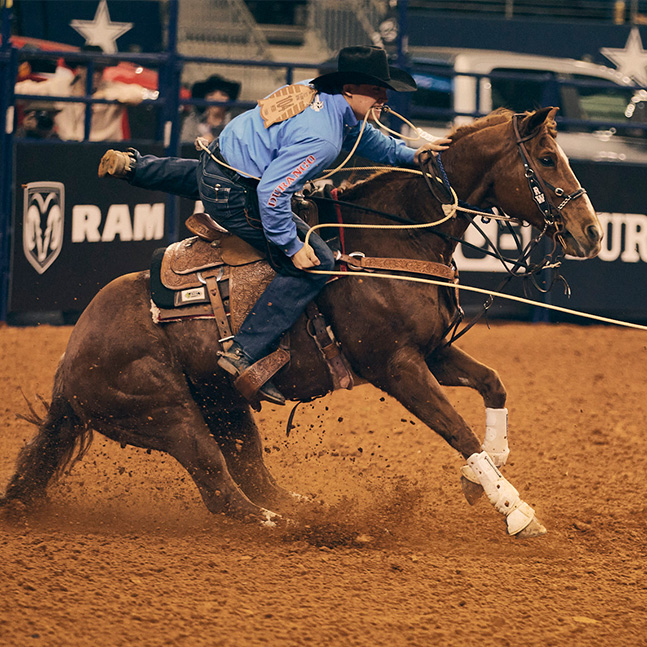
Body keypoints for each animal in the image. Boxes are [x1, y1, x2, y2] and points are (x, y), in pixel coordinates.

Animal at [2, 109, 604, 540]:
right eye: (547, 158)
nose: (592, 232)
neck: (390, 240)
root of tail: (69, 365)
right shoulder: (396, 366)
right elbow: (456, 429)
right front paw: (516, 510)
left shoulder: (432, 351)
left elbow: (493, 384)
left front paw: (482, 478)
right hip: (166, 414)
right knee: (220, 488)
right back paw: (291, 528)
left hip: (225, 406)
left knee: (254, 475)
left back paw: (304, 508)